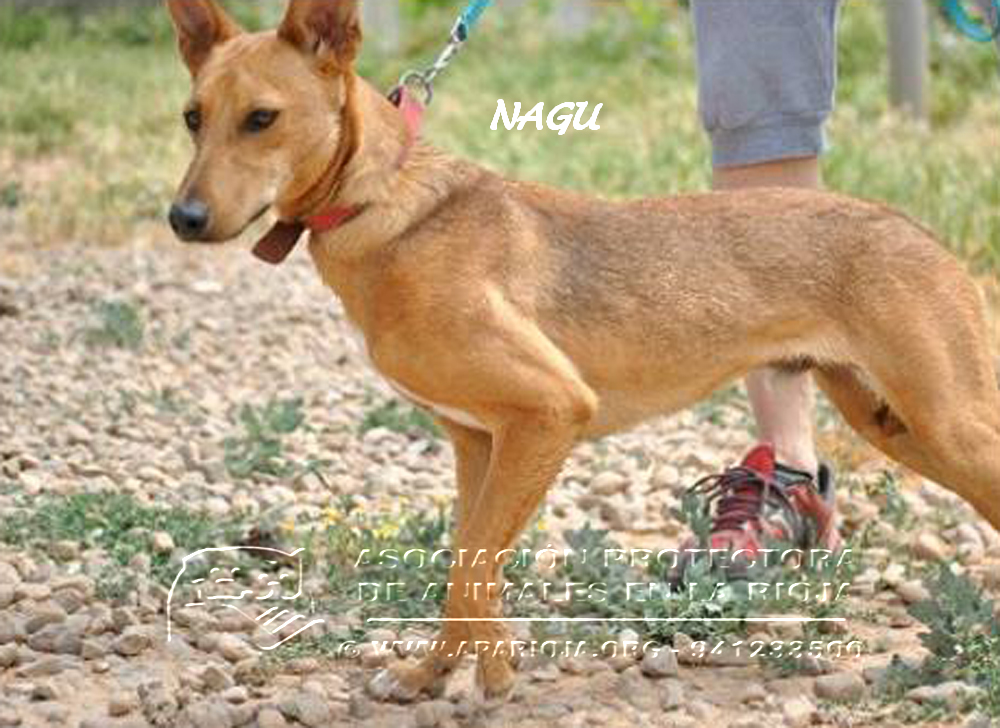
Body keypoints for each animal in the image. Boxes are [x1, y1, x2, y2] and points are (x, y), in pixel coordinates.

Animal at [166, 0, 1000, 703]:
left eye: (263, 118)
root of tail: (921, 233)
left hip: (947, 424)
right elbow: (466, 566)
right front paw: (433, 673)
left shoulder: (548, 412)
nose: (183, 219)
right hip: (893, 423)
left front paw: (495, 677)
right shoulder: (478, 441)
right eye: (192, 118)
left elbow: (473, 570)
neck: (383, 204)